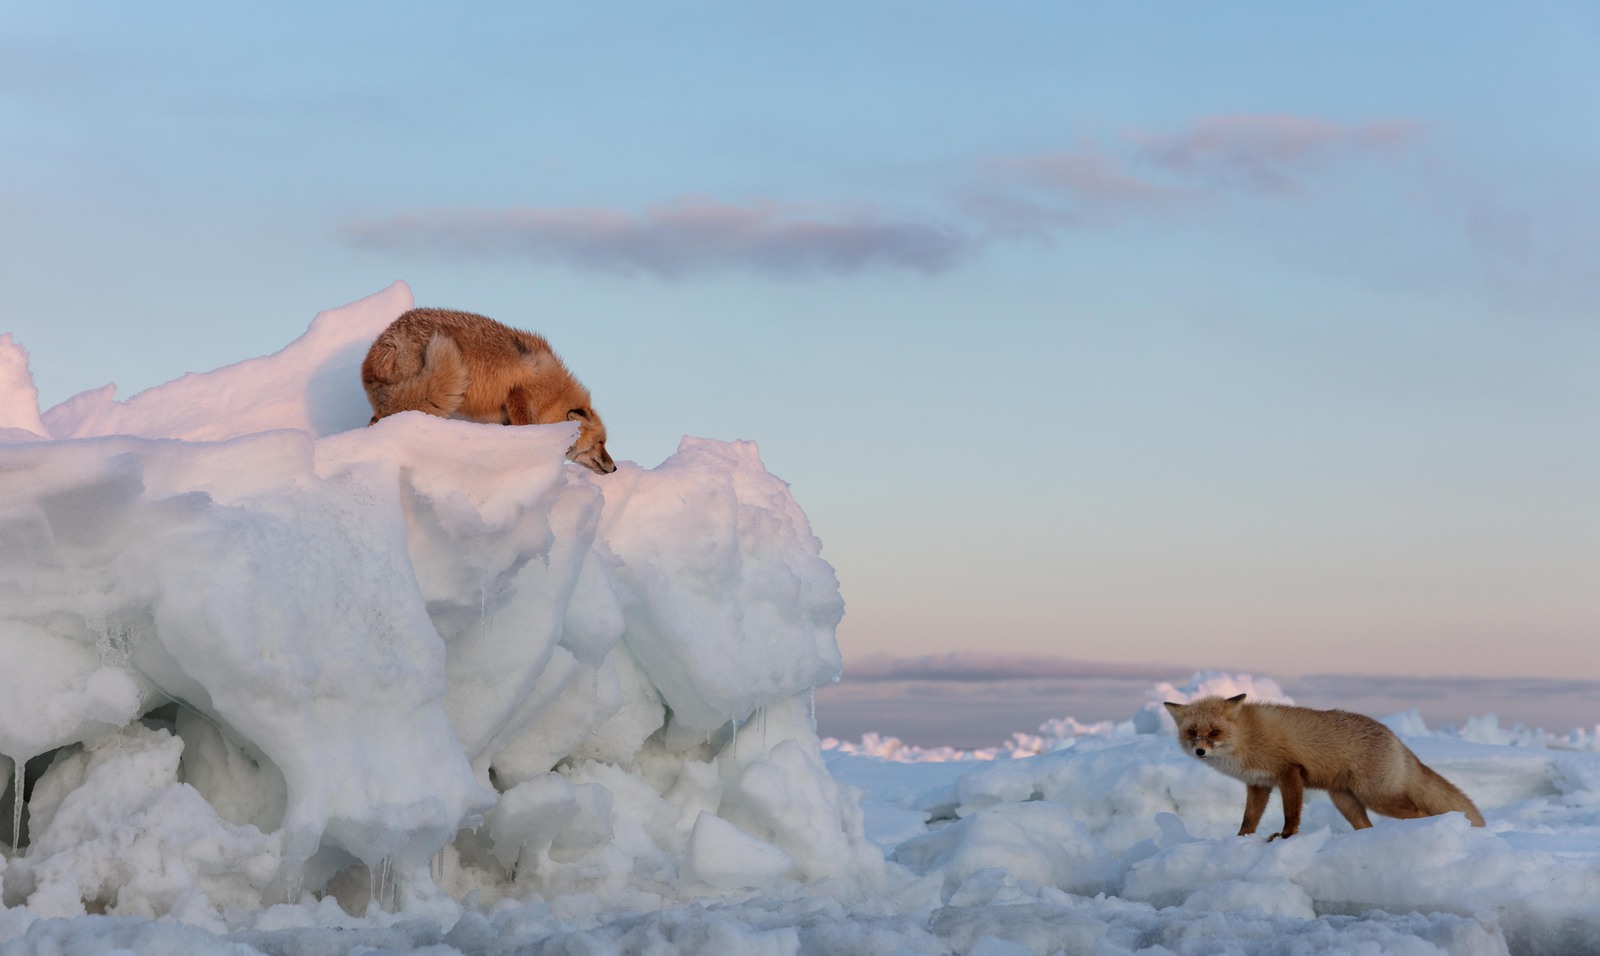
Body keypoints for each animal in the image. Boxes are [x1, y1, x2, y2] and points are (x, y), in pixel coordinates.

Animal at [1164, 693, 1484, 844]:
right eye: (1192, 733)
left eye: (1214, 732)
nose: (1200, 750)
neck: (1245, 737)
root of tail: (1394, 736)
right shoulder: (1259, 784)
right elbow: (1248, 820)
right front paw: (1241, 841)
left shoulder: (1289, 772)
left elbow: (1291, 814)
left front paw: (1285, 837)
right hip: (1345, 801)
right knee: (1366, 826)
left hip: (1379, 798)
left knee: (1419, 813)